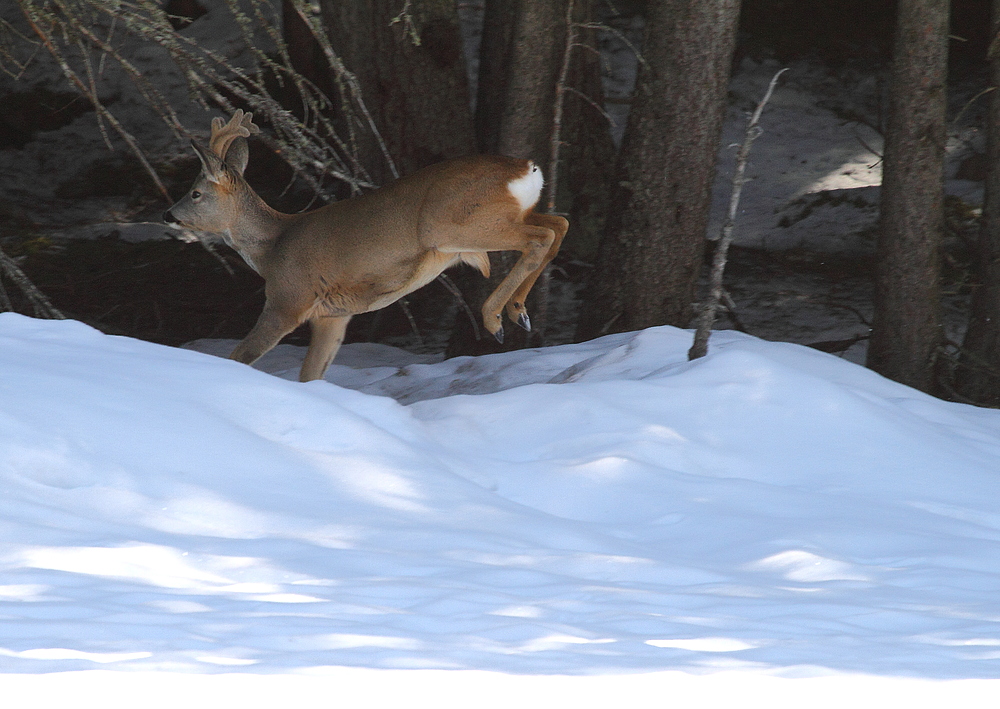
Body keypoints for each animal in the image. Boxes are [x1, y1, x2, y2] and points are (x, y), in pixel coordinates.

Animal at [165, 112, 572, 382]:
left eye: (195, 192)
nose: (168, 216)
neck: (272, 249)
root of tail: (527, 169)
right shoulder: (334, 315)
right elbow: (310, 374)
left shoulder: (288, 299)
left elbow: (241, 355)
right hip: (499, 218)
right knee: (559, 225)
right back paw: (518, 312)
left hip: (450, 225)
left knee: (541, 237)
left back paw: (494, 319)